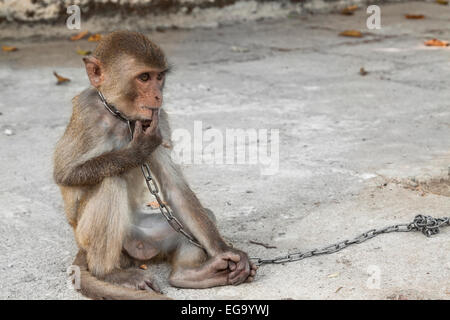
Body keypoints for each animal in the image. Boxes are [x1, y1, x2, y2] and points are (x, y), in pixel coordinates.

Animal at [53, 31, 256, 298]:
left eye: (159, 77)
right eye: (144, 77)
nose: (159, 96)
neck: (120, 116)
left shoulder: (159, 120)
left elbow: (175, 189)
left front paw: (226, 252)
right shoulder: (88, 113)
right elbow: (64, 174)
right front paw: (138, 150)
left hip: (148, 236)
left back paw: (192, 275)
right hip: (87, 235)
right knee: (111, 181)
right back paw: (109, 273)